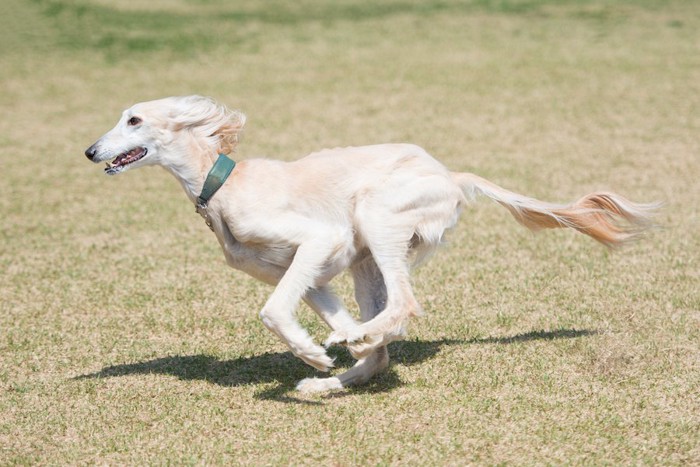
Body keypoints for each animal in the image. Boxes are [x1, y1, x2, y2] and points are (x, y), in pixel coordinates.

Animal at [85, 97, 660, 394]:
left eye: (134, 120)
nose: (90, 151)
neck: (220, 182)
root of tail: (450, 174)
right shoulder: (313, 274)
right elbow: (320, 318)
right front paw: (324, 355)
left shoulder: (320, 239)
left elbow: (271, 312)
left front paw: (315, 354)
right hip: (366, 259)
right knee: (383, 339)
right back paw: (339, 371)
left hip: (375, 216)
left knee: (405, 305)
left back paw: (348, 351)